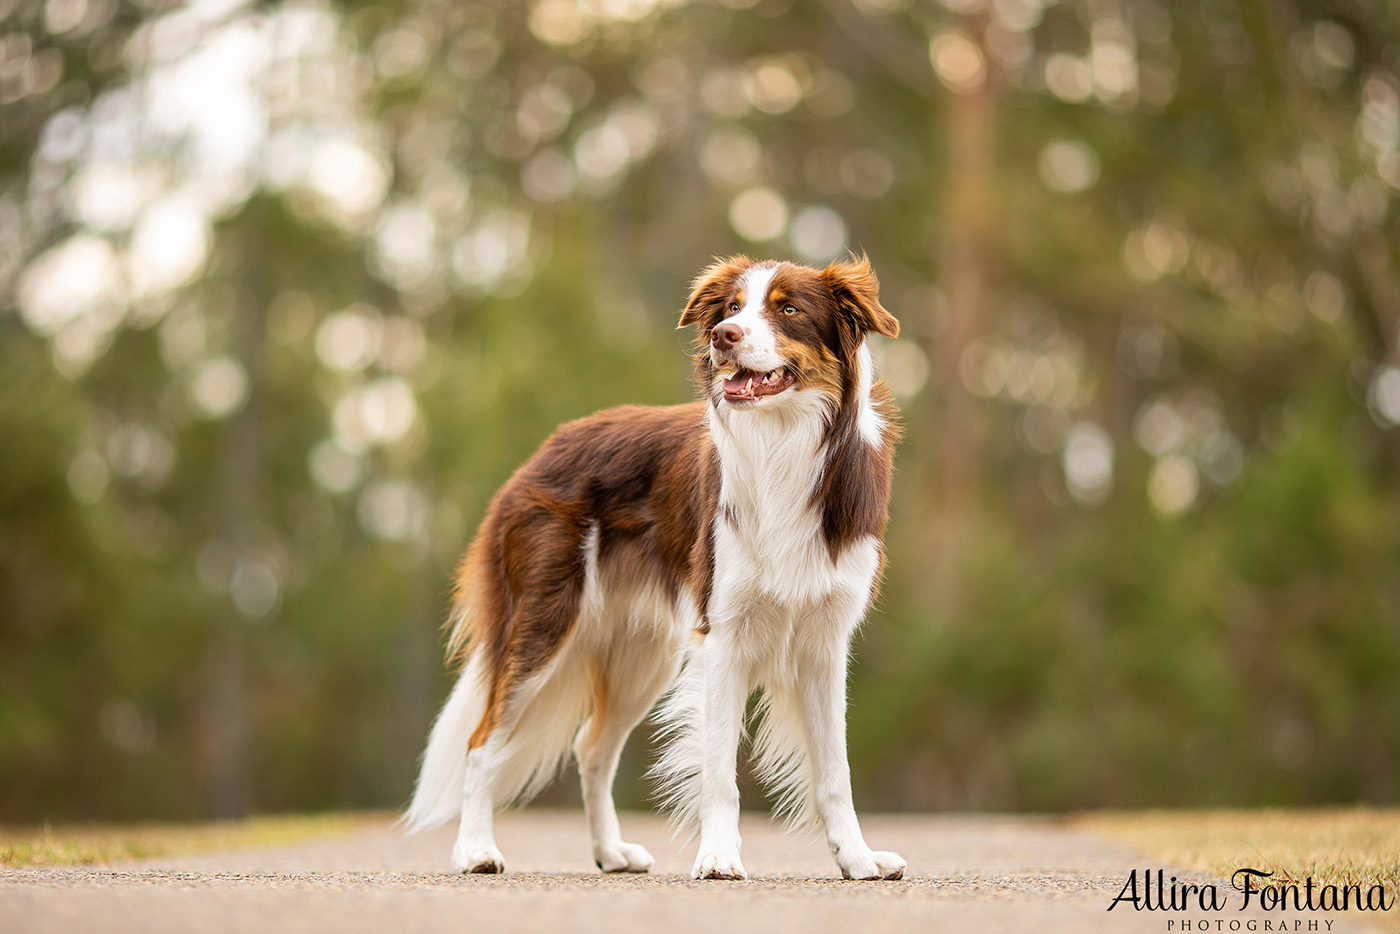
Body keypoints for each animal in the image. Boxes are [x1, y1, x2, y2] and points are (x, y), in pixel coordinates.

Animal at [406, 252, 907, 879]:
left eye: (789, 309)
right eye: (731, 308)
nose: (723, 336)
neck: (784, 445)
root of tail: (542, 452)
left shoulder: (824, 641)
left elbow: (835, 772)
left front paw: (858, 858)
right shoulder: (723, 635)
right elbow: (719, 772)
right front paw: (718, 857)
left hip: (638, 655)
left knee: (591, 750)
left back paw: (610, 852)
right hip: (544, 622)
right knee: (482, 742)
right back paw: (475, 850)